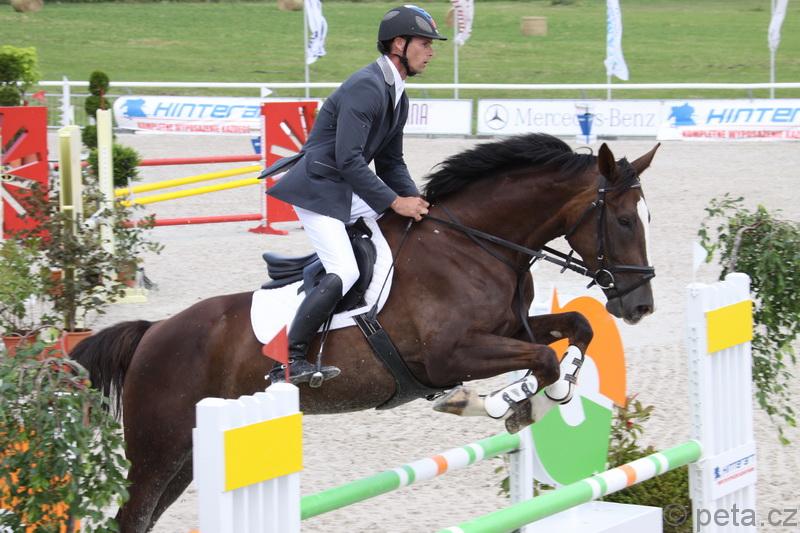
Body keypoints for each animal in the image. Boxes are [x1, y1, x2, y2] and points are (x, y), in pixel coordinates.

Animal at [71, 133, 658, 532]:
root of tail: (151, 333)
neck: (474, 243)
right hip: (158, 447)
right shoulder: (449, 355)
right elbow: (543, 359)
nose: (640, 304)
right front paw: (505, 402)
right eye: (625, 221)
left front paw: (529, 397)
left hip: (185, 457)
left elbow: (574, 329)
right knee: (131, 515)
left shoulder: (511, 326)